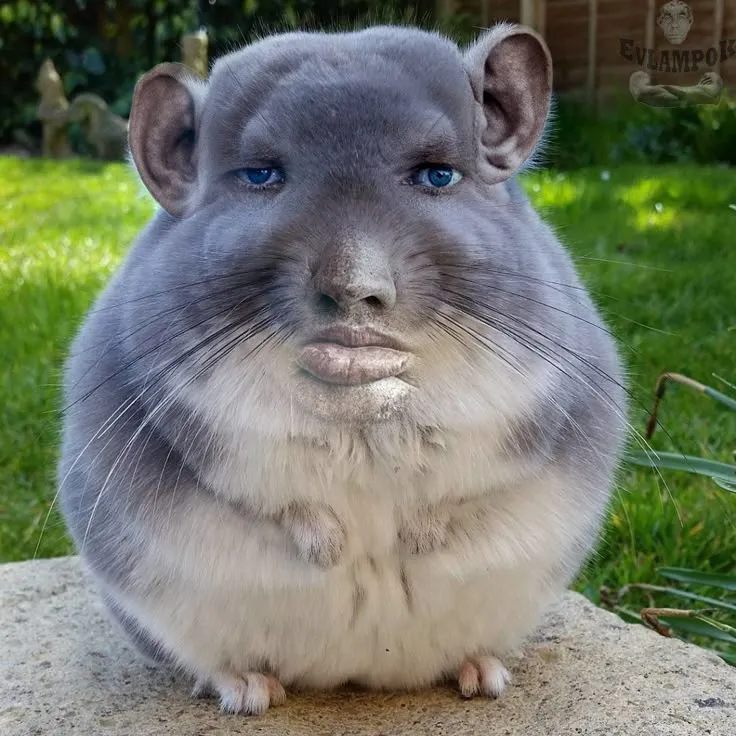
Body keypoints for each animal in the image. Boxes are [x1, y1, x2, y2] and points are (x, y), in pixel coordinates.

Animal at [57, 22, 628, 716]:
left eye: (438, 175)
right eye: (261, 175)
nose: (356, 290)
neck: (361, 411)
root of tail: (354, 674)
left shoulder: (529, 403)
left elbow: (464, 480)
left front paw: (418, 538)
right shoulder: (194, 413)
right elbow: (272, 489)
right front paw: (329, 546)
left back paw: (483, 674)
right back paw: (246, 689)